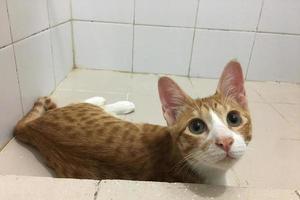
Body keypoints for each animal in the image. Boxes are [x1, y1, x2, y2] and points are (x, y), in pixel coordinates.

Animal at [15, 61, 252, 184]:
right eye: (196, 127)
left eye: (233, 118)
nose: (225, 141)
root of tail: (32, 126)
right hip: (82, 109)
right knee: (86, 103)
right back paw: (109, 101)